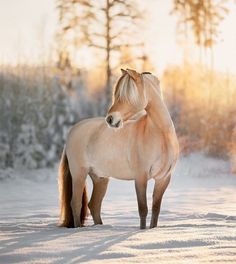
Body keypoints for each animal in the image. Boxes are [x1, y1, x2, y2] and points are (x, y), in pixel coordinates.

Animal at [57, 68, 179, 229]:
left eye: (127, 95)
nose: (110, 119)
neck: (161, 134)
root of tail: (73, 130)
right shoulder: (140, 177)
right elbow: (143, 209)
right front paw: (142, 230)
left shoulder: (163, 178)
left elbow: (155, 209)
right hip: (79, 174)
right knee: (76, 204)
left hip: (100, 178)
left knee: (93, 205)